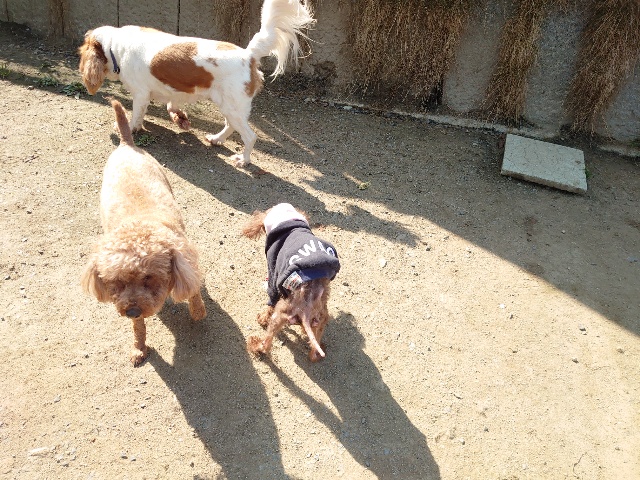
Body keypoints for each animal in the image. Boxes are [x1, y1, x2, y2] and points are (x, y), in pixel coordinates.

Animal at [78, 0, 314, 167]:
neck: (115, 46)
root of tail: (248, 55)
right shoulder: (168, 92)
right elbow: (170, 105)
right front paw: (179, 118)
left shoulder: (140, 95)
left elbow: (135, 116)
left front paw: (130, 128)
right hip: (230, 106)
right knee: (230, 126)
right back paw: (217, 139)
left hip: (232, 107)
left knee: (250, 136)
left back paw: (243, 160)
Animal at [81, 99, 206, 366]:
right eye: (116, 282)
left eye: (149, 278)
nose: (131, 311)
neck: (140, 224)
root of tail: (127, 144)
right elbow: (138, 329)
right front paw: (139, 348)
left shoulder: (186, 260)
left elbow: (193, 292)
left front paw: (198, 311)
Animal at [243, 203, 340, 362]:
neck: (287, 220)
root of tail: (306, 310)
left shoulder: (273, 273)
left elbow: (270, 300)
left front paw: (262, 317)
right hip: (321, 319)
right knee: (314, 352)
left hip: (279, 316)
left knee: (266, 344)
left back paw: (254, 344)